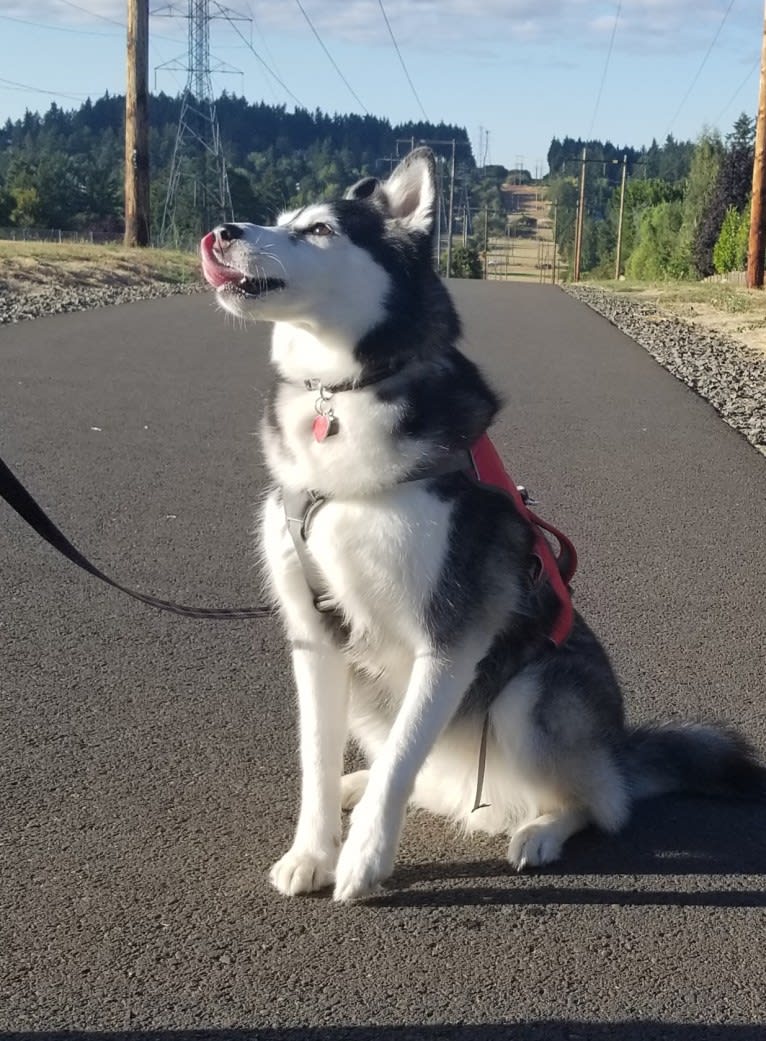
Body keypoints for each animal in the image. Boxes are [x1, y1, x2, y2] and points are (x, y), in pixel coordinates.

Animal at [198, 148, 766, 903]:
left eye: (317, 229)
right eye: (281, 217)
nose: (220, 232)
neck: (346, 396)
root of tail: (618, 748)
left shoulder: (452, 633)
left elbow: (405, 753)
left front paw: (363, 859)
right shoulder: (314, 636)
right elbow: (317, 759)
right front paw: (313, 851)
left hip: (528, 695)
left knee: (602, 803)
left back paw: (543, 829)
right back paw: (363, 781)